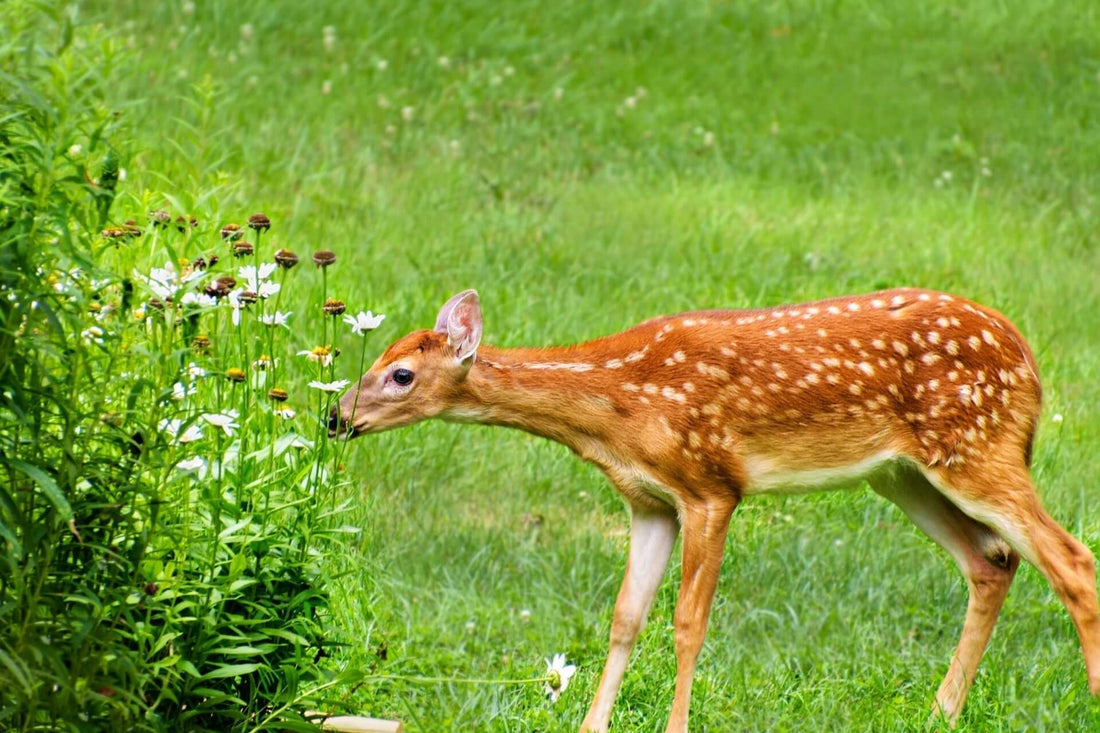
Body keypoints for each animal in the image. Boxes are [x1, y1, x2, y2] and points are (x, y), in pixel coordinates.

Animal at [329, 288, 1100, 732]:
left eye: (401, 374)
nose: (336, 417)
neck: (616, 407)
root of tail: (1029, 358)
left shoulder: (710, 486)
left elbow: (688, 624)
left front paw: (673, 726)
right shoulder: (648, 502)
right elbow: (624, 617)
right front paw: (591, 726)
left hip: (976, 445)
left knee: (1071, 558)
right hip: (903, 474)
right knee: (992, 561)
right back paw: (938, 712)